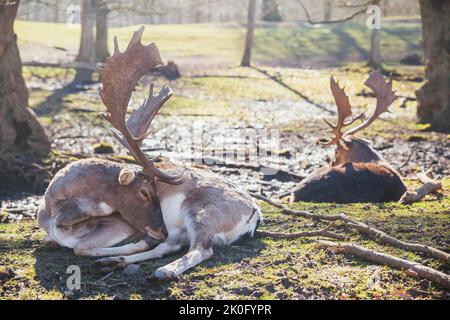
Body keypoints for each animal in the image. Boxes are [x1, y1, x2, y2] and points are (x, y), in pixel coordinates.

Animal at [39, 28, 264, 282]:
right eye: (145, 193)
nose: (160, 229)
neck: (56, 215)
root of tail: (255, 212)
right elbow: (54, 242)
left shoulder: (121, 224)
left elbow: (80, 247)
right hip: (184, 227)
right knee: (171, 245)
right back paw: (113, 261)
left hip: (202, 211)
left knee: (201, 249)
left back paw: (162, 271)